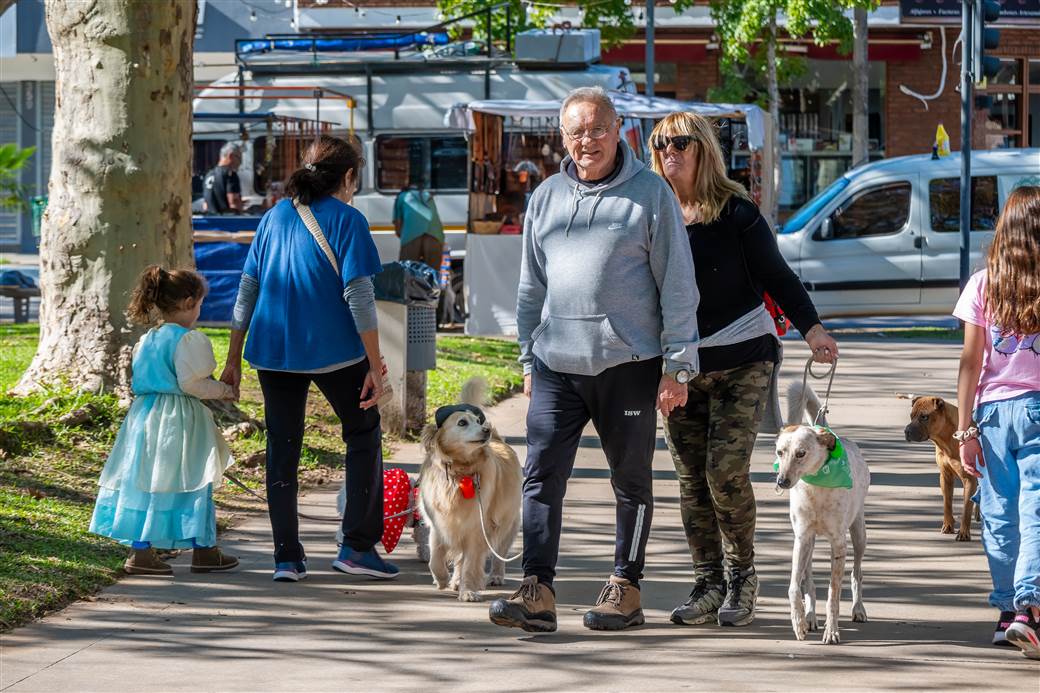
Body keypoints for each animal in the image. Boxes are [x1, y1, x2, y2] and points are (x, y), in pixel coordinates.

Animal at [418, 378, 524, 599]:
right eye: (462, 422)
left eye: (477, 421)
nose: (486, 430)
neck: (460, 472)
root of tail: (497, 439)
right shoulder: (439, 524)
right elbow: (435, 558)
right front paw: (442, 579)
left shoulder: (477, 528)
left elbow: (470, 563)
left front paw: (468, 591)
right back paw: (455, 581)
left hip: (506, 522)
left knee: (498, 554)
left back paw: (495, 576)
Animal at [777, 378, 873, 640]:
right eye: (780, 452)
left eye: (801, 453)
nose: (781, 482)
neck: (815, 488)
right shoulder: (801, 539)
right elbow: (793, 587)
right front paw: (798, 622)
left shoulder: (839, 544)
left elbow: (834, 593)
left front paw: (832, 631)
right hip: (809, 545)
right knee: (808, 581)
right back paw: (810, 617)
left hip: (859, 534)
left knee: (857, 574)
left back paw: (858, 609)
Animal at [906, 393, 977, 541]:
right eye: (911, 416)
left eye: (924, 417)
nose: (906, 431)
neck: (946, 441)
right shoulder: (945, 476)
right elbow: (947, 503)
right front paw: (948, 525)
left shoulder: (969, 479)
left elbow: (966, 508)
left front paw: (963, 532)